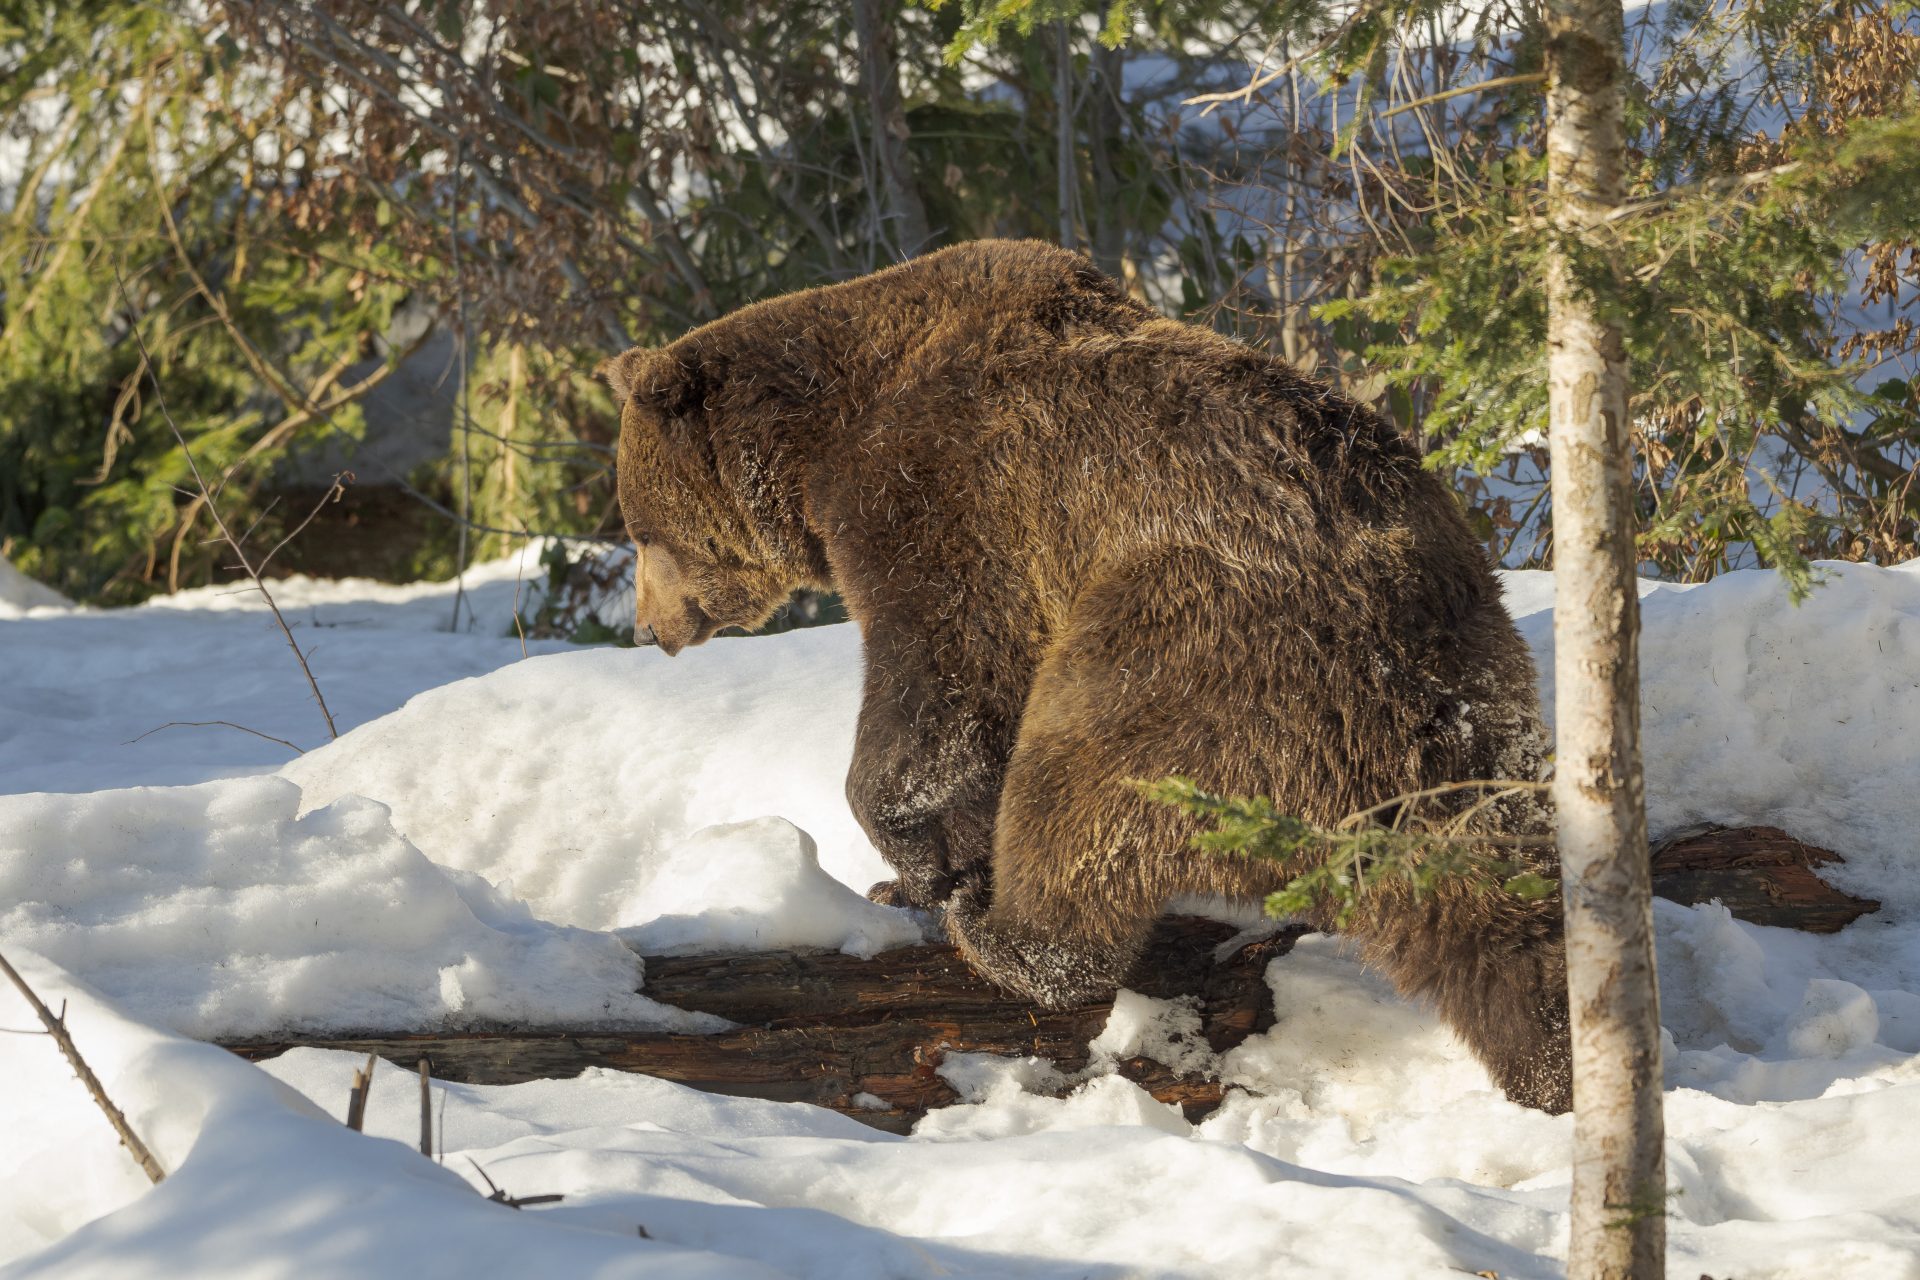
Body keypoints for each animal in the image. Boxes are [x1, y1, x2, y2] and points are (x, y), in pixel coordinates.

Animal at [602, 237, 1574, 1113]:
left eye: (641, 530)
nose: (652, 629)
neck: (817, 436)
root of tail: (1408, 698)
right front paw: (912, 878)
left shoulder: (941, 489)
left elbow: (944, 677)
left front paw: (916, 861)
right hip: (1479, 693)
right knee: (1505, 924)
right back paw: (1556, 1069)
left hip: (1197, 651)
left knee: (1077, 785)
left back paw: (1005, 938)